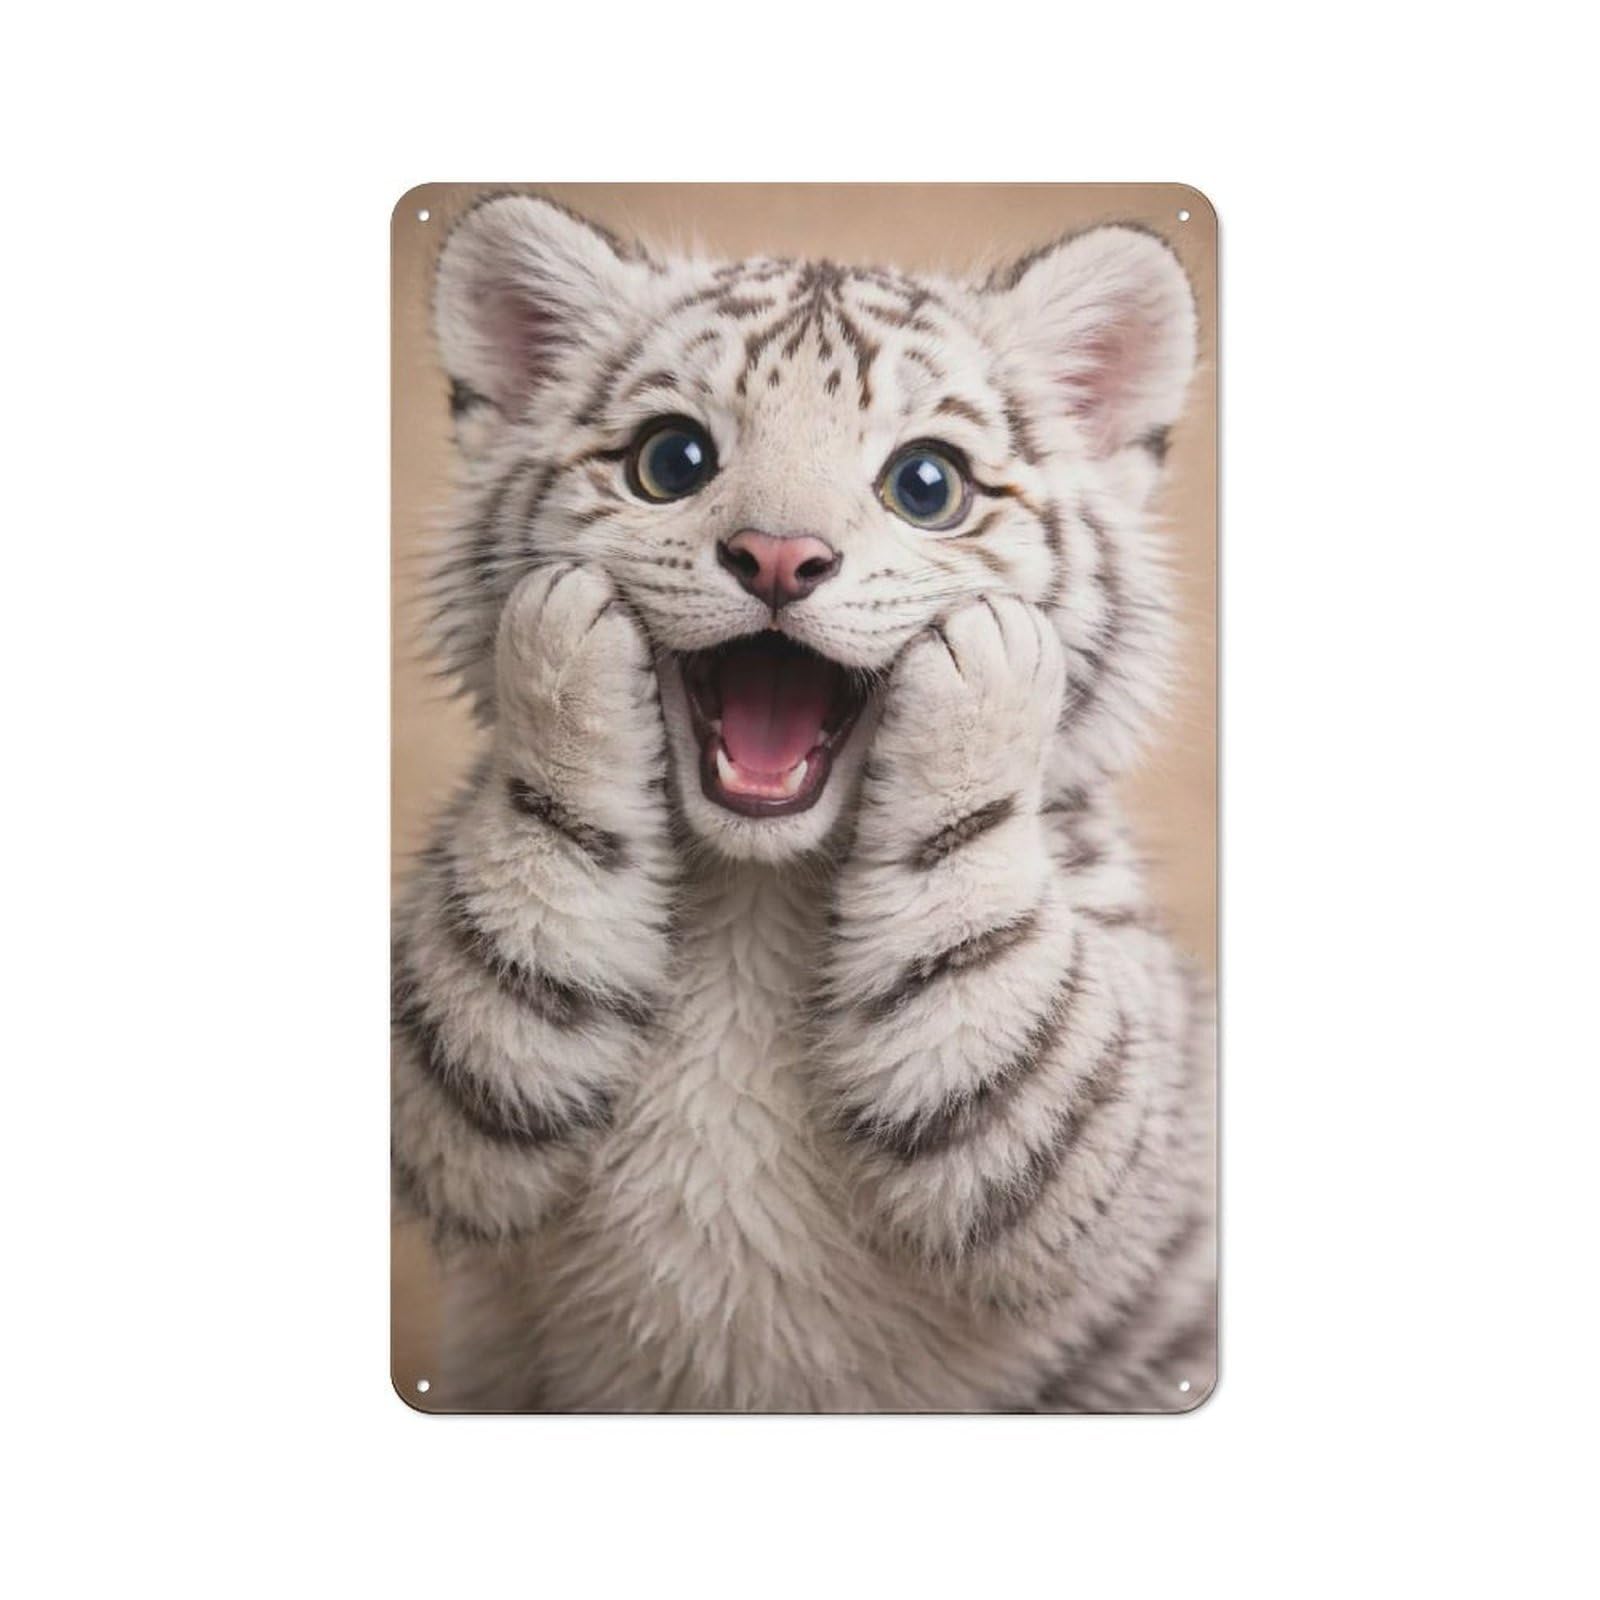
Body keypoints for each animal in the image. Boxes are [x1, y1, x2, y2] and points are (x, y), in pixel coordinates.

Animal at [392, 191, 1216, 1411]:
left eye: (927, 484)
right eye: (673, 459)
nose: (778, 556)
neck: (755, 894)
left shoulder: (1096, 1145)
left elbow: (997, 990)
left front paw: (989, 660)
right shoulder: (446, 1092)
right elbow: (511, 928)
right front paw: (565, 632)